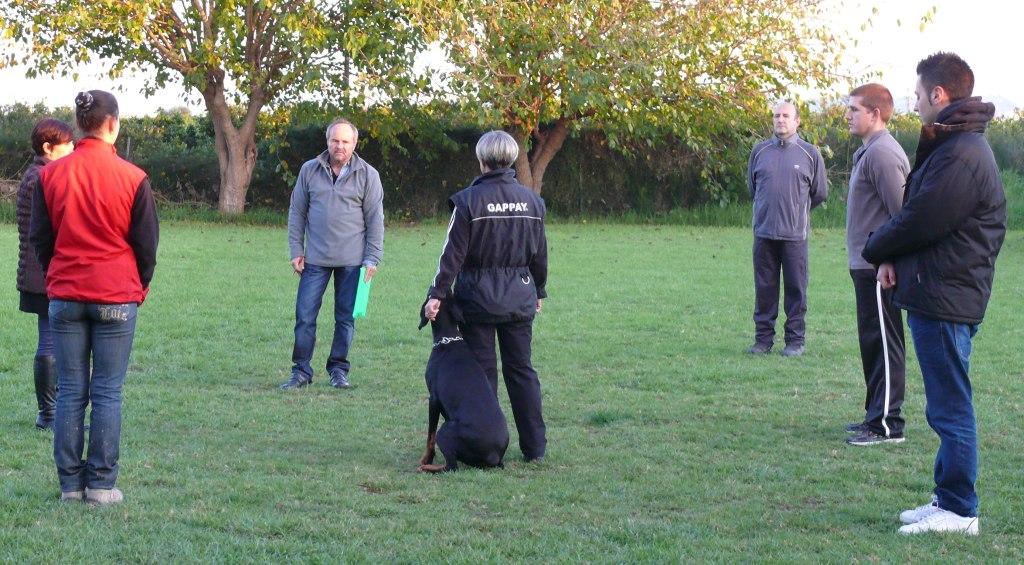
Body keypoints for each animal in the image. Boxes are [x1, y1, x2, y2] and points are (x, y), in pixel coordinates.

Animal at [417, 300, 509, 472]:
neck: (448, 338)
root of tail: (494, 455)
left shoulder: (433, 399)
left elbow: (430, 435)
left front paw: (426, 459)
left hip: (446, 430)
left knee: (451, 466)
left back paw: (427, 467)